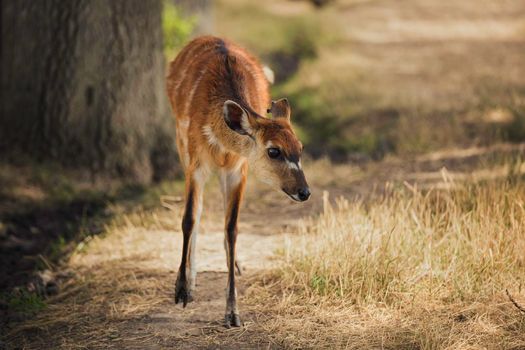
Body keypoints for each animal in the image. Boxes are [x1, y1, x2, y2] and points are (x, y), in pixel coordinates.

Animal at [166, 36, 310, 328]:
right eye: (274, 150)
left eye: (300, 148)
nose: (304, 191)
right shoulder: (195, 160)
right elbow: (189, 218)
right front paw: (182, 290)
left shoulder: (238, 167)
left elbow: (232, 227)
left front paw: (232, 313)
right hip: (180, 141)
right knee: (198, 213)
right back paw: (192, 282)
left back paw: (237, 264)